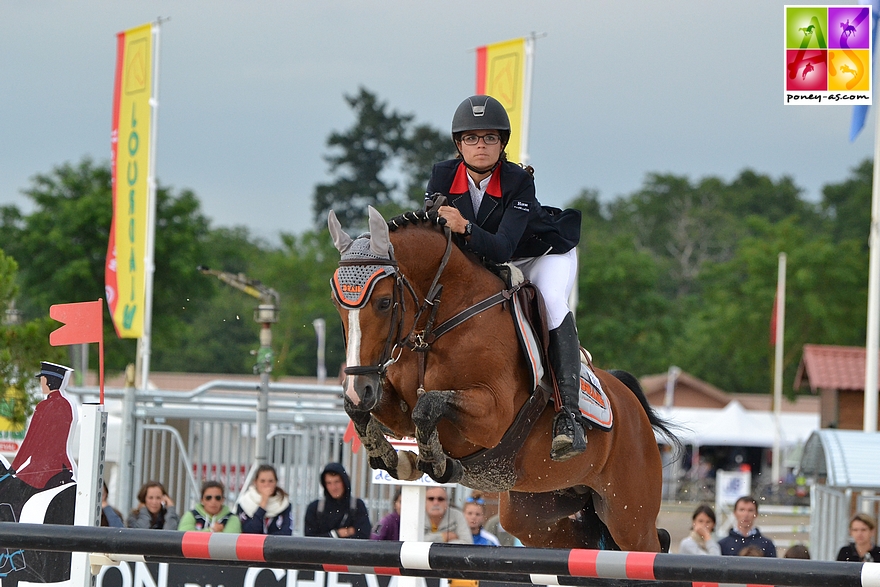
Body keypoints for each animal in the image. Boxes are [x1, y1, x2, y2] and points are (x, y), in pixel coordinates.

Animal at [328, 207, 672, 552]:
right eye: (337, 304)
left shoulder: (493, 415)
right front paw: (390, 456)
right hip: (535, 511)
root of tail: (632, 404)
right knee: (581, 541)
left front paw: (436, 463)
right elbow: (367, 411)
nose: (359, 389)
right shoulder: (396, 408)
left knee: (648, 542)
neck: (439, 323)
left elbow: (428, 405)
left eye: (384, 302)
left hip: (628, 516)